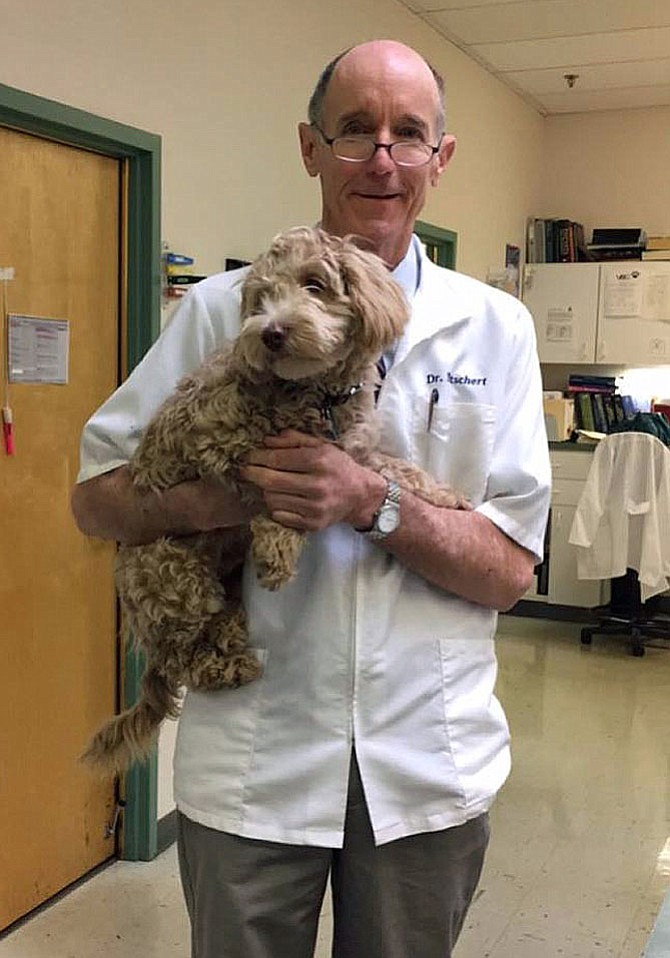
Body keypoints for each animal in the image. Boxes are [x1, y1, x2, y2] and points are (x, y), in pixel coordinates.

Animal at [82, 229, 468, 776]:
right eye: (261, 298)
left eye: (314, 284)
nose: (271, 333)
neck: (318, 394)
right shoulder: (219, 439)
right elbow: (266, 495)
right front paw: (278, 550)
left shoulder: (356, 455)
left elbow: (395, 471)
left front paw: (444, 494)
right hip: (174, 575)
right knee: (182, 654)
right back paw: (222, 667)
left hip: (219, 590)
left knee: (214, 629)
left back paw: (231, 653)